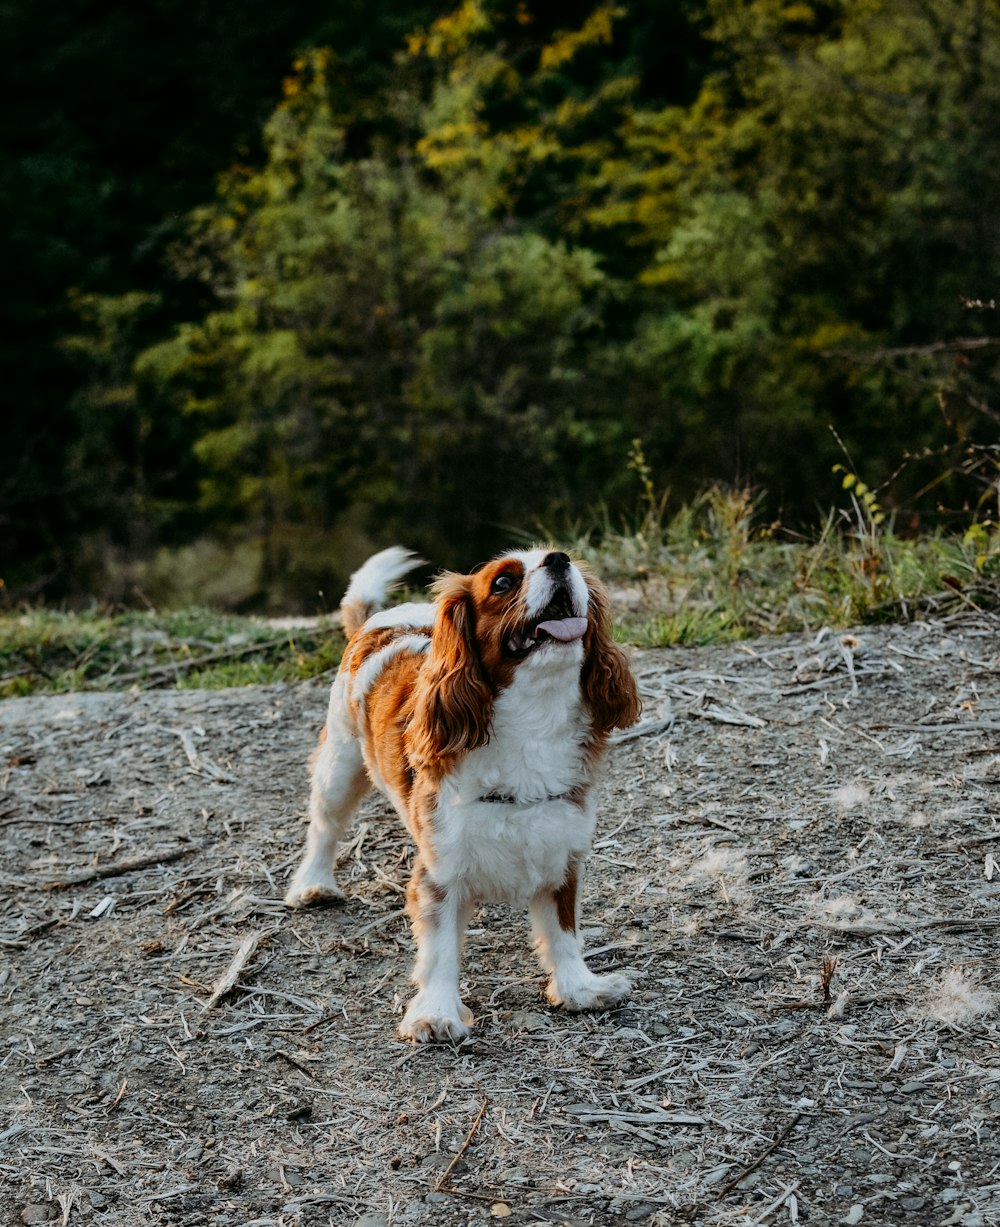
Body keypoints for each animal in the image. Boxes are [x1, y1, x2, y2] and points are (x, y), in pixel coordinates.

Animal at [282, 552, 642, 1040]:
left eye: (571, 566)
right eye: (503, 582)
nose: (559, 559)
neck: (534, 720)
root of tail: (382, 617)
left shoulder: (561, 852)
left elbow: (564, 932)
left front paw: (580, 989)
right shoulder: (440, 871)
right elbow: (440, 949)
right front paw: (436, 1014)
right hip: (339, 764)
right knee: (324, 826)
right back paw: (313, 884)